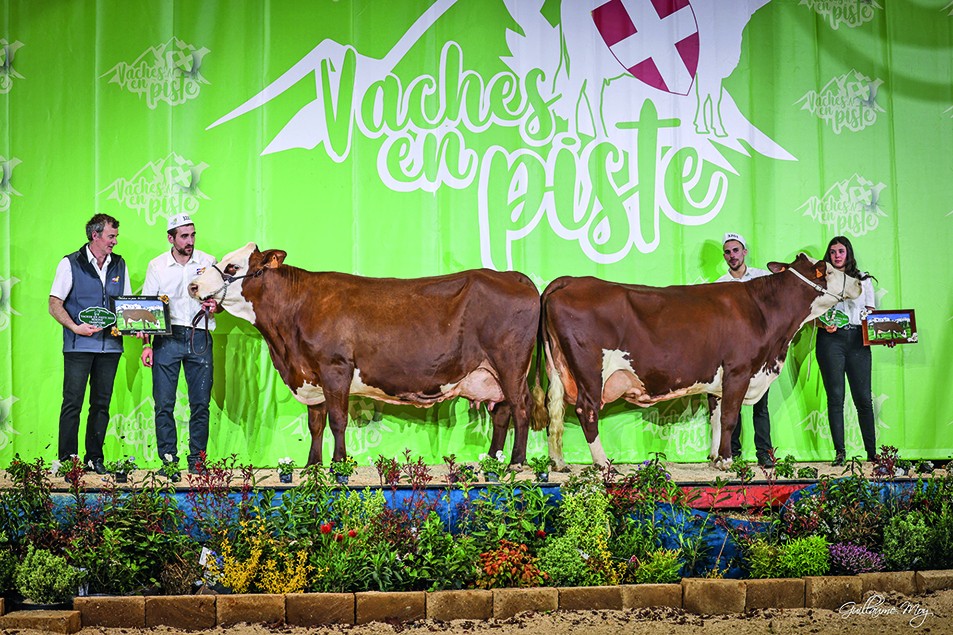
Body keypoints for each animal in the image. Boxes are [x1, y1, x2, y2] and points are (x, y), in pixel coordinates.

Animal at [188, 243, 544, 468]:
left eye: (232, 266)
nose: (192, 286)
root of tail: (512, 275)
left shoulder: (335, 368)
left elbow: (337, 420)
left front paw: (338, 464)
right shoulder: (311, 376)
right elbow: (315, 424)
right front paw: (312, 466)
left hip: (510, 363)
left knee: (520, 408)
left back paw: (515, 462)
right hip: (491, 374)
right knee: (502, 413)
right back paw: (493, 460)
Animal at [540, 255, 860, 472]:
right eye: (828, 269)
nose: (860, 279)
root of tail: (570, 280)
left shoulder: (717, 381)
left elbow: (716, 418)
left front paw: (715, 457)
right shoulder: (739, 370)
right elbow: (730, 417)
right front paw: (727, 462)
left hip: (557, 368)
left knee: (554, 412)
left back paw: (559, 463)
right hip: (590, 371)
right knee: (587, 410)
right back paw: (604, 463)